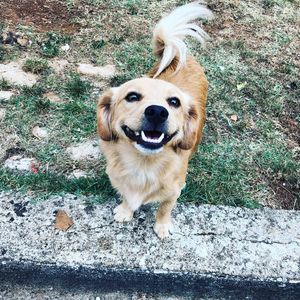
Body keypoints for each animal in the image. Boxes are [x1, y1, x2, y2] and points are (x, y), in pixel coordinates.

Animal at [97, 1, 212, 238]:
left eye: (175, 102)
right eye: (132, 96)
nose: (157, 112)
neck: (144, 165)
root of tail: (179, 57)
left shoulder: (171, 193)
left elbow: (165, 208)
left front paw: (162, 226)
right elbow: (126, 196)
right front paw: (126, 211)